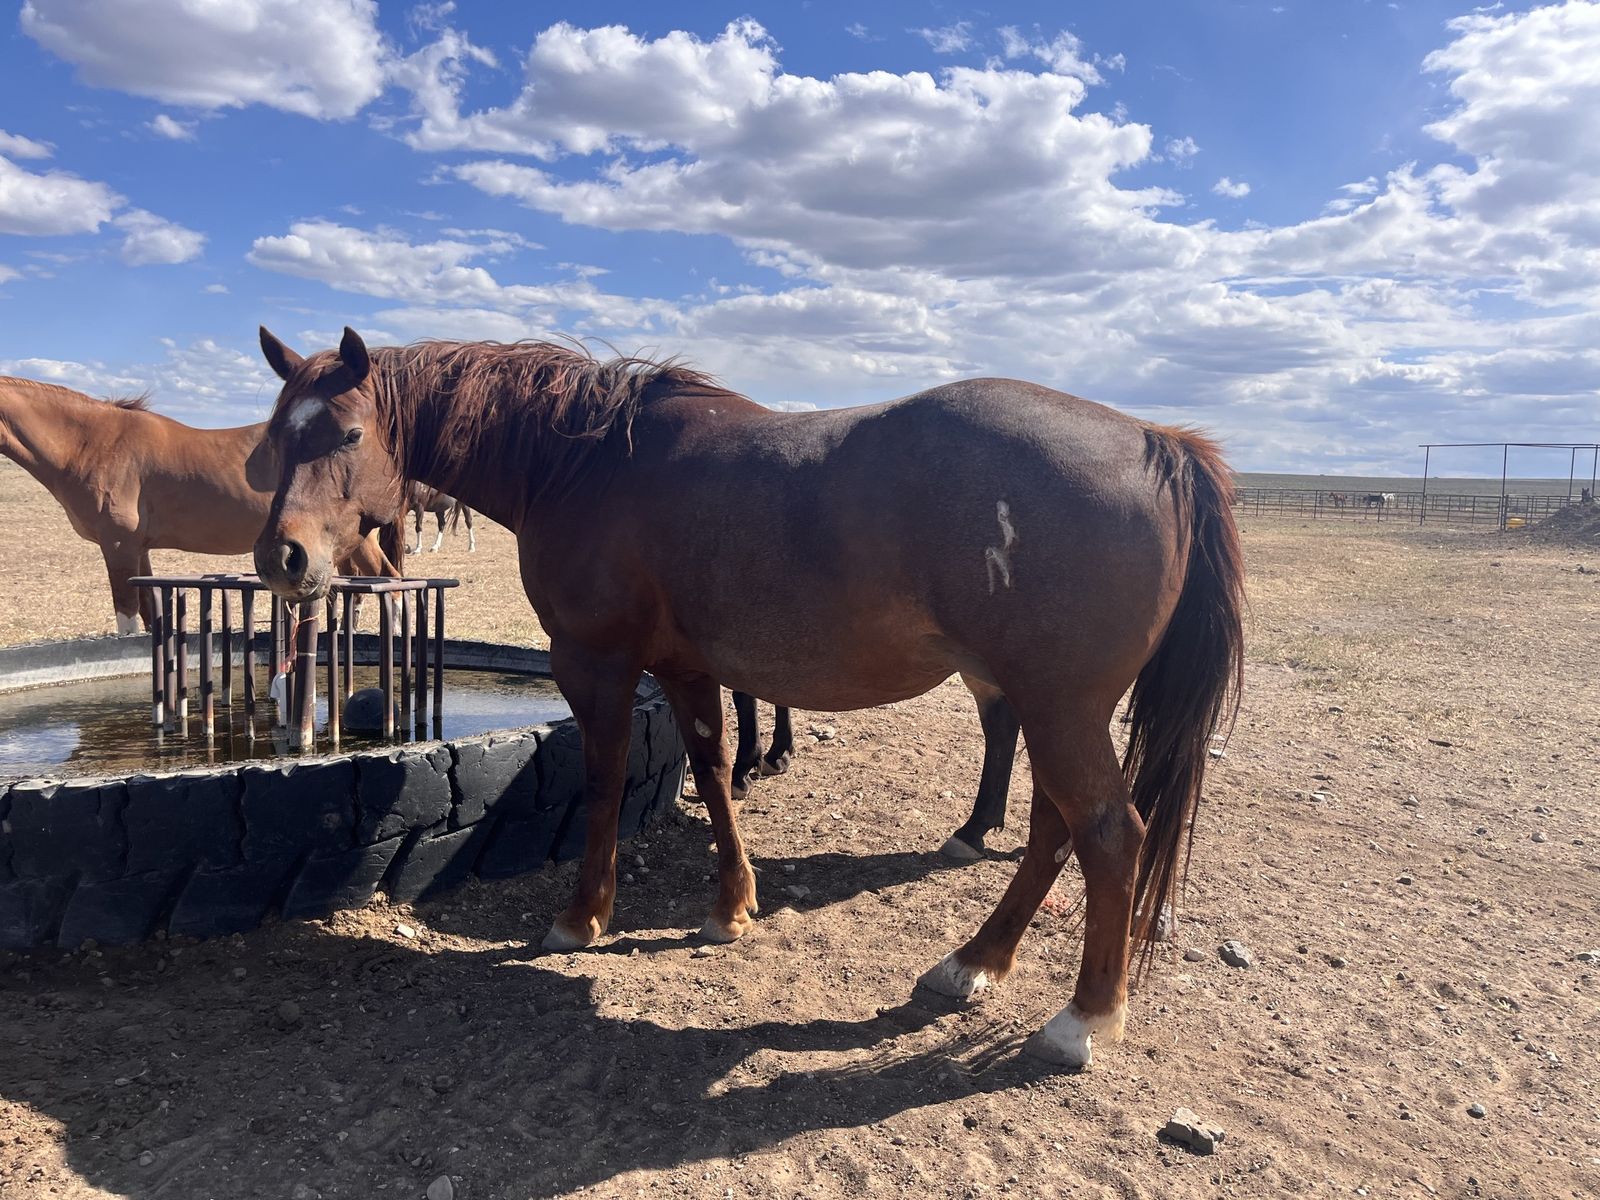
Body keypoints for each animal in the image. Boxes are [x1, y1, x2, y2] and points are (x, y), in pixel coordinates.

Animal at [0, 375, 398, 634]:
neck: (95, 443)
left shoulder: (118, 547)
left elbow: (127, 624)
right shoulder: (138, 550)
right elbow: (149, 621)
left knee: (389, 580)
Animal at [252, 328, 1244, 1070]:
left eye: (345, 434)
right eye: (274, 436)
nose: (281, 558)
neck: (584, 466)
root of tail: (1160, 444)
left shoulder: (596, 665)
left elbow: (606, 785)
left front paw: (582, 916)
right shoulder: (687, 669)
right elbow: (713, 769)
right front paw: (731, 906)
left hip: (1059, 707)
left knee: (1109, 836)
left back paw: (1081, 1021)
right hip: (1050, 709)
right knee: (1053, 832)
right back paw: (973, 964)